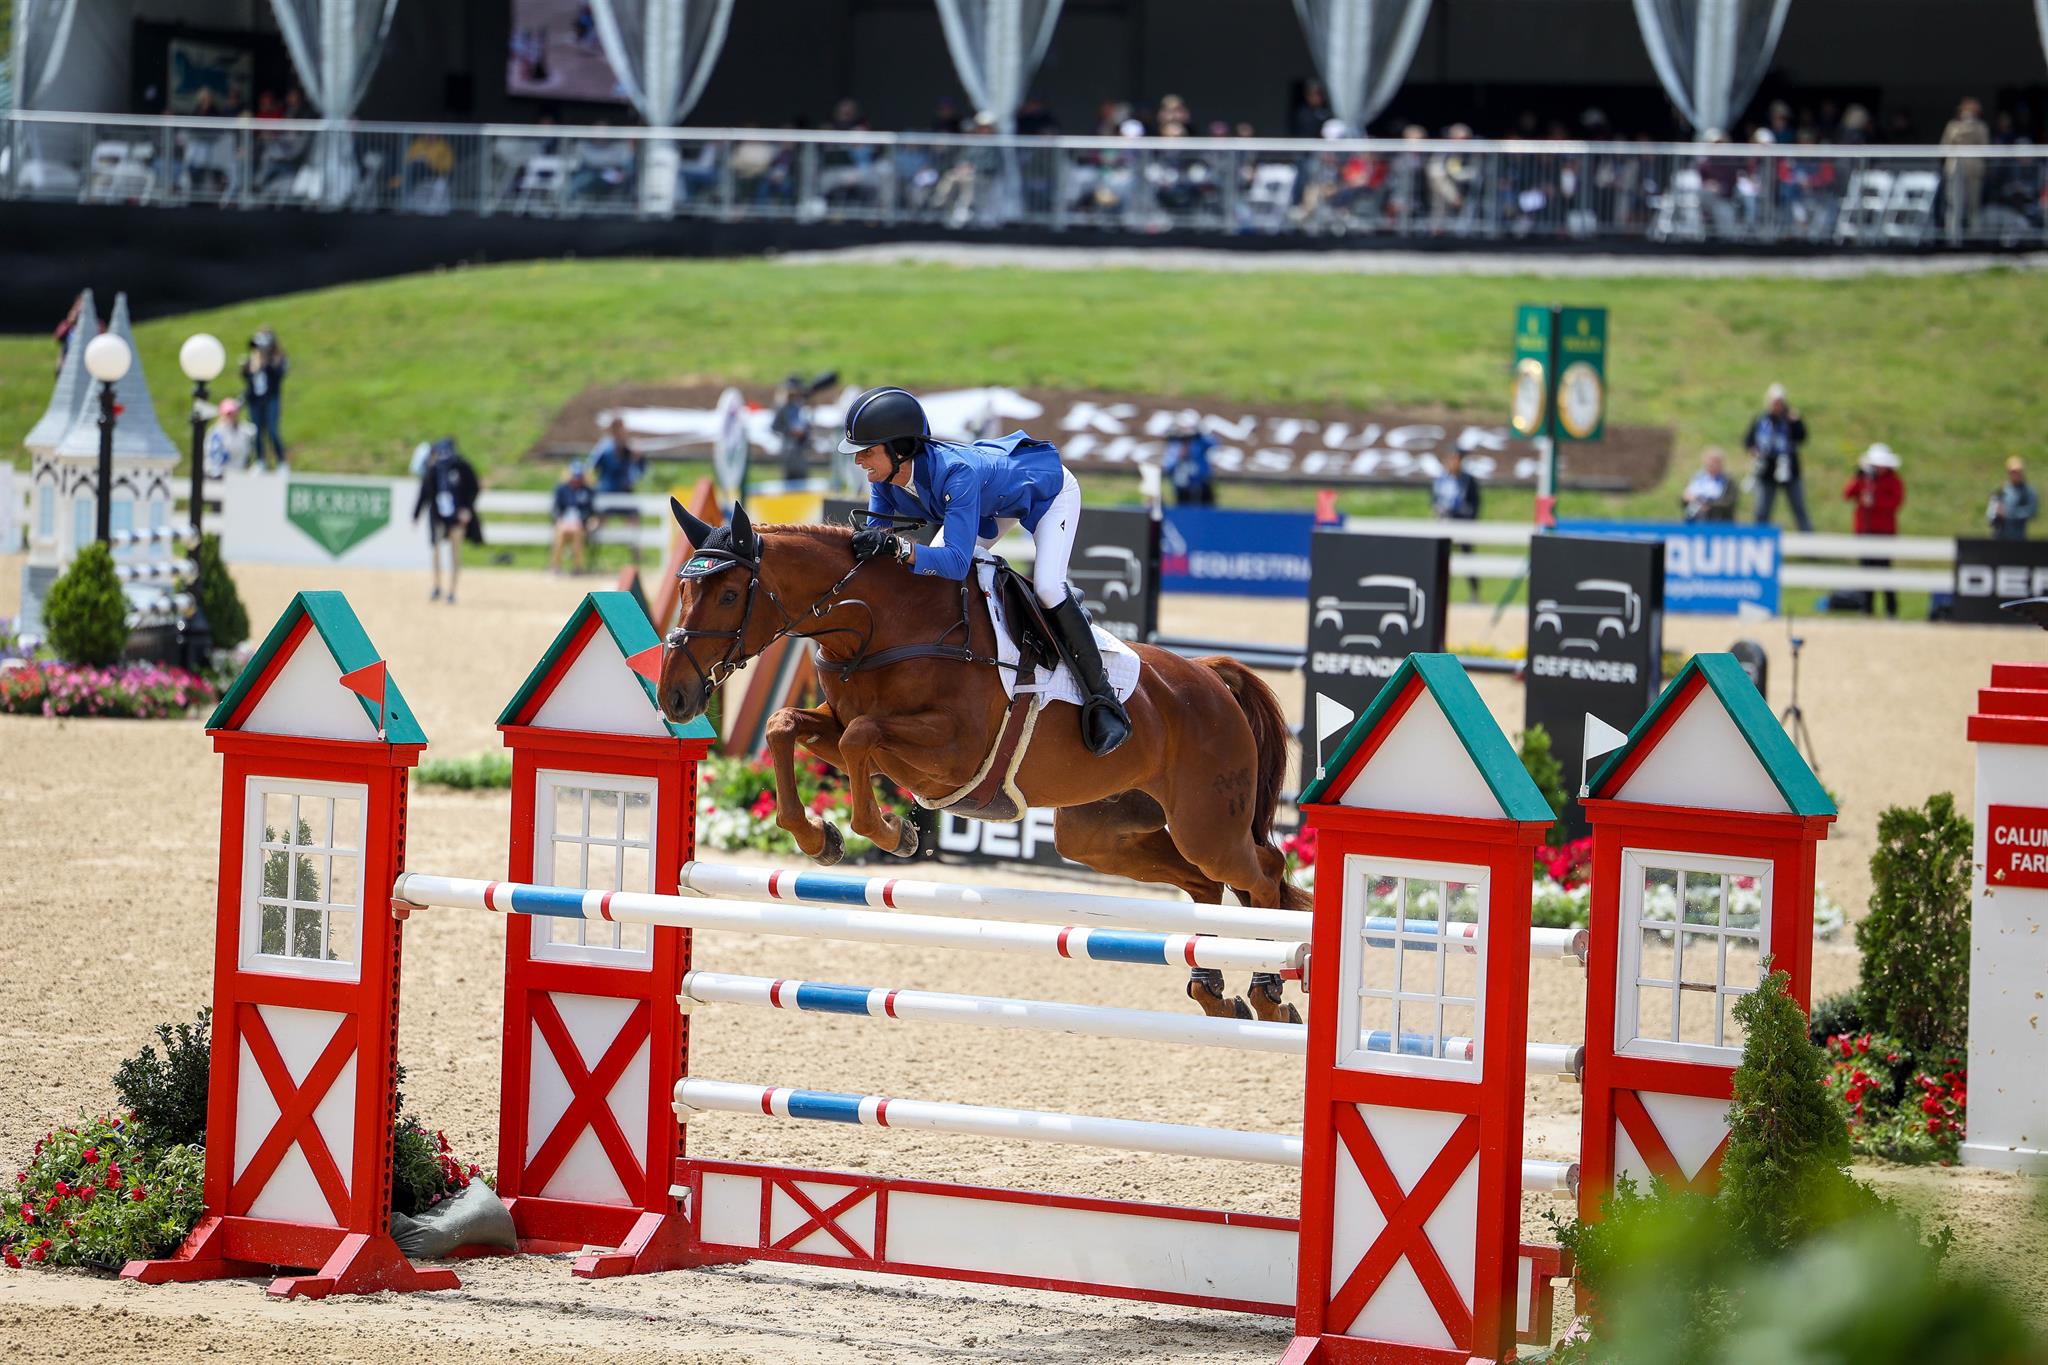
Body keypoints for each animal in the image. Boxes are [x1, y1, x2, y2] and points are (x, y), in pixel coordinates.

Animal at [655, 501, 1310, 1023]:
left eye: (730, 594)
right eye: (684, 592)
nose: (674, 698)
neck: (879, 624)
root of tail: (1210, 678)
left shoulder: (952, 751)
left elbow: (860, 739)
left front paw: (891, 834)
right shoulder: (847, 729)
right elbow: (787, 726)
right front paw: (819, 838)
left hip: (1207, 823)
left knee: (1263, 872)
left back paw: (1269, 990)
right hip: (1101, 834)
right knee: (1204, 883)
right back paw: (1215, 991)